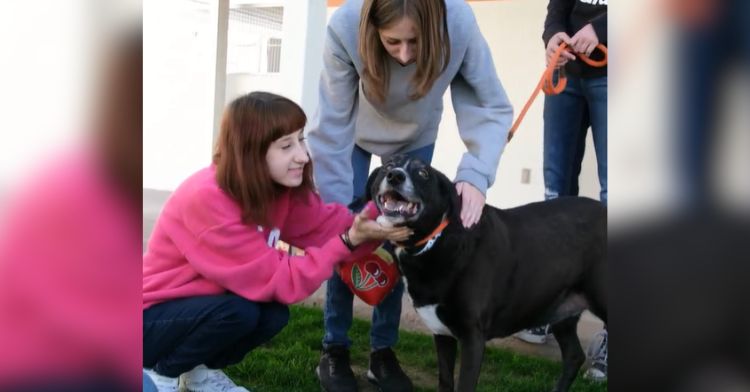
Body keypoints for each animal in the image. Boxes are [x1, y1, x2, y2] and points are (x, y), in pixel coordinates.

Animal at [368, 155, 608, 390]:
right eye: (388, 166)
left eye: (423, 173)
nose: (395, 176)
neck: (436, 240)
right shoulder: (442, 333)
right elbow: (445, 381)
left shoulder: (473, 338)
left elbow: (464, 385)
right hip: (561, 310)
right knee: (574, 356)